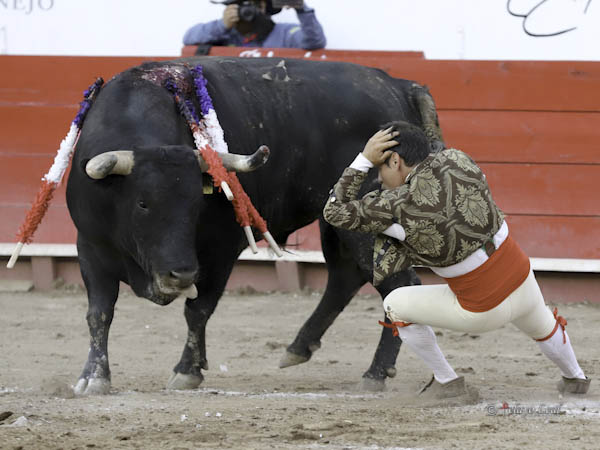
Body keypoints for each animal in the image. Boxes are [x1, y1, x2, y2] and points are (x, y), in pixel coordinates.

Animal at [65, 55, 442, 394]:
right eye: (142, 203)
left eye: (197, 203)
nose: (181, 275)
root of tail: (399, 86)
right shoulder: (90, 247)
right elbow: (99, 313)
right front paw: (93, 378)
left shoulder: (219, 250)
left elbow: (198, 310)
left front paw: (187, 372)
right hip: (336, 221)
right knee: (346, 277)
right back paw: (298, 349)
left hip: (363, 222)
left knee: (396, 283)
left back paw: (375, 373)